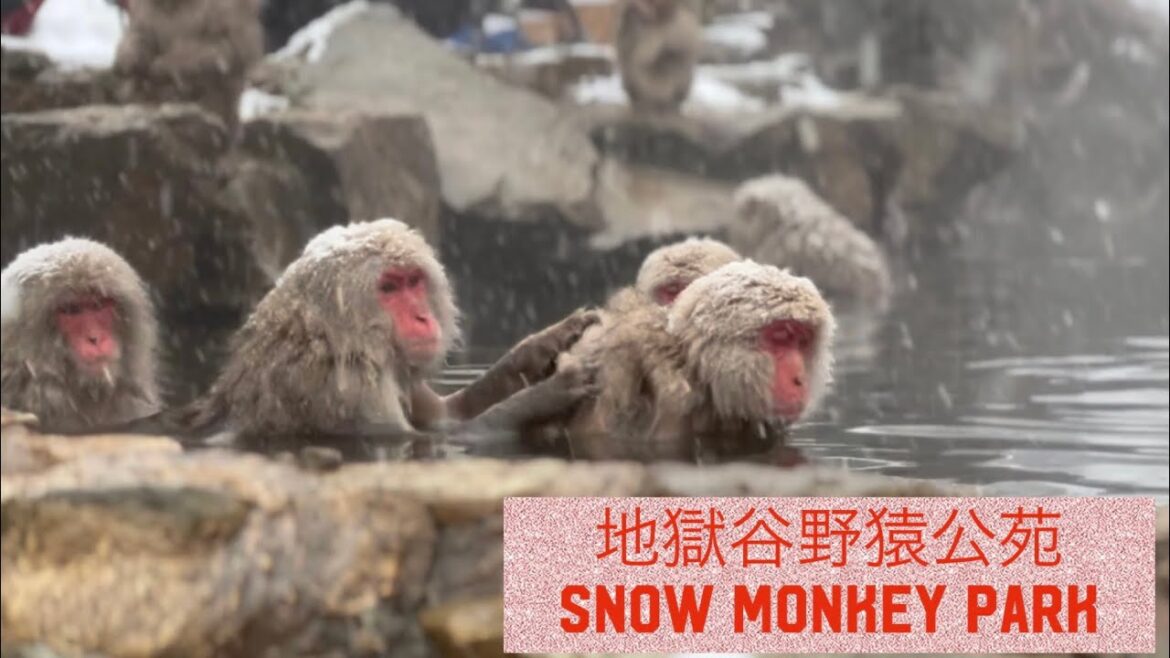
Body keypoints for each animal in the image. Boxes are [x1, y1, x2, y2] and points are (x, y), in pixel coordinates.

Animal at [151, 218, 597, 453]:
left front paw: (538, 347)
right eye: (389, 288)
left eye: (413, 281)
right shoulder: (350, 390)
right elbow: (425, 436)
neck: (336, 340)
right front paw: (545, 394)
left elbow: (447, 415)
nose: (421, 316)